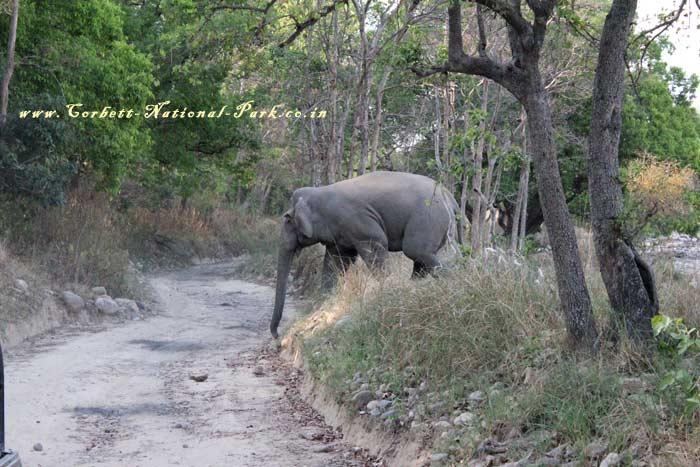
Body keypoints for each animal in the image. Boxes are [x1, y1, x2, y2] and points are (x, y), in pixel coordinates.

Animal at [270, 170, 462, 338]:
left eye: (288, 220)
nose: (276, 335)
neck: (320, 192)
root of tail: (449, 197)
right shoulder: (338, 235)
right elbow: (335, 261)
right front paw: (323, 303)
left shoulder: (358, 222)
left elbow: (376, 244)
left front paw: (385, 290)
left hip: (428, 218)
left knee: (416, 250)